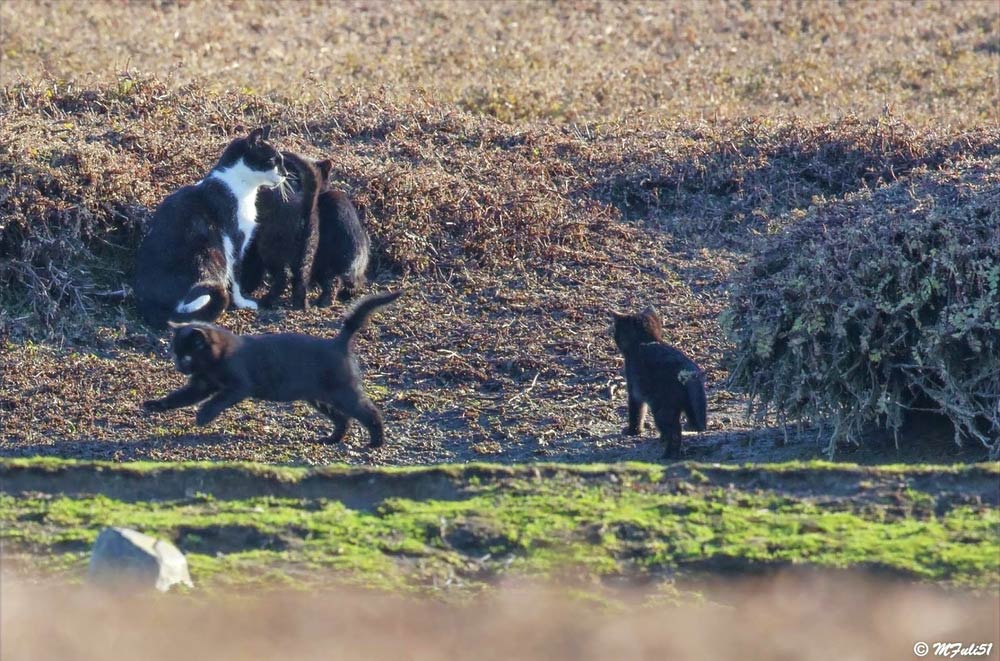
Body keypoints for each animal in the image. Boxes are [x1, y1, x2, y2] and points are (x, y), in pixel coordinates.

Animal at [135, 125, 288, 328]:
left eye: (283, 161)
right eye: (272, 161)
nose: (285, 174)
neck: (237, 184)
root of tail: (149, 303)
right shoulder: (235, 239)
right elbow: (236, 275)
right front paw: (242, 301)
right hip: (210, 253)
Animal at [145, 288, 402, 444]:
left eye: (187, 356)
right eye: (175, 354)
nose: (179, 366)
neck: (213, 363)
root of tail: (337, 342)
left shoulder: (239, 385)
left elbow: (218, 399)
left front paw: (203, 416)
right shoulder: (201, 384)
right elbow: (180, 397)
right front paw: (155, 404)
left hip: (341, 392)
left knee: (368, 411)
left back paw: (375, 442)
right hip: (318, 397)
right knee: (343, 419)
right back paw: (331, 440)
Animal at [612, 306, 708, 456]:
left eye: (617, 331)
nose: (614, 337)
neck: (645, 342)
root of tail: (686, 369)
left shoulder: (633, 389)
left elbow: (636, 412)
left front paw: (633, 431)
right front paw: (661, 438)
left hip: (662, 407)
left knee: (675, 432)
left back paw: (668, 455)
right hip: (690, 403)